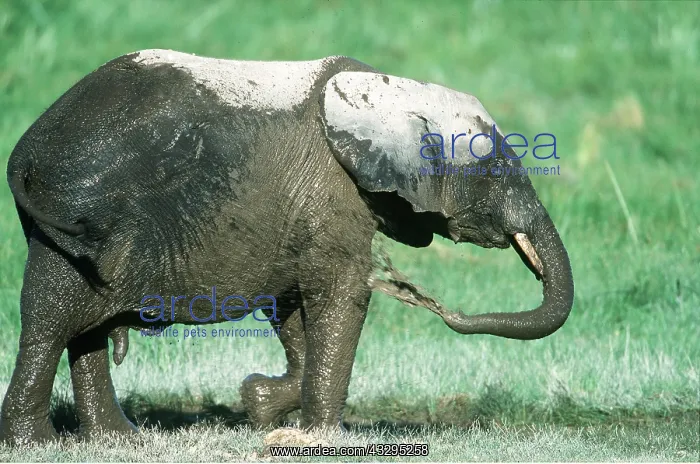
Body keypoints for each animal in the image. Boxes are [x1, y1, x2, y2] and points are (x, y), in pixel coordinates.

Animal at [1, 49, 574, 445]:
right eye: (495, 169)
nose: (425, 299)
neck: (389, 91)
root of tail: (26, 149)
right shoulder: (333, 190)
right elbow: (342, 296)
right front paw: (323, 437)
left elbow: (293, 305)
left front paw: (260, 403)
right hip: (81, 209)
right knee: (52, 320)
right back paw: (37, 444)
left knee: (82, 327)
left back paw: (118, 439)